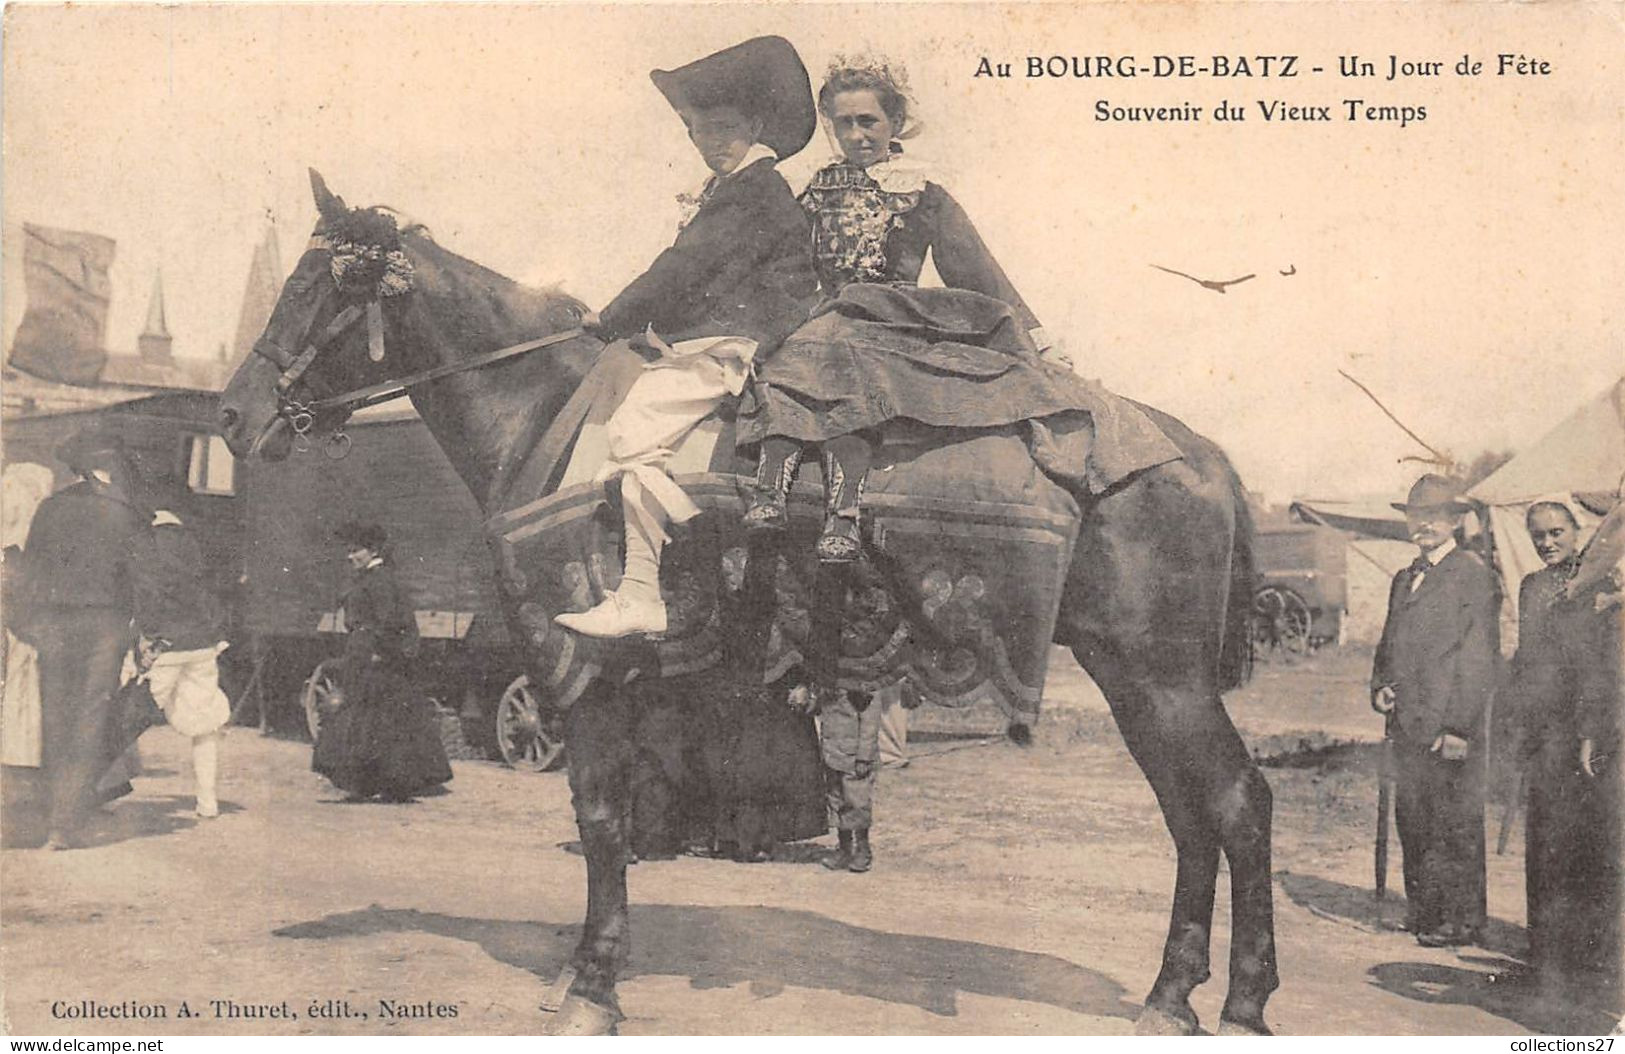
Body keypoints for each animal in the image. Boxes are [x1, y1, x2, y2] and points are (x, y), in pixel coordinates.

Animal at [219, 172, 1280, 1032]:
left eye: (311, 287)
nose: (233, 414)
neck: (545, 413)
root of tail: (1201, 454)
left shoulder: (580, 674)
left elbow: (600, 819)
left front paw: (591, 986)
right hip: (1130, 676)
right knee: (1191, 815)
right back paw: (1172, 996)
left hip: (1159, 676)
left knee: (1235, 800)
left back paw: (1240, 1000)